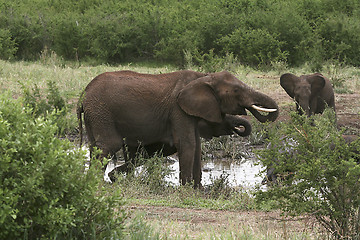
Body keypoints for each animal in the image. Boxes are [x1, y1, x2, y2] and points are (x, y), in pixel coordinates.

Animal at [76, 69, 278, 186]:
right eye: (236, 91)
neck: (204, 77)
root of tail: (83, 93)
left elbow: (196, 145)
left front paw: (197, 188)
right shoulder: (178, 109)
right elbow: (188, 144)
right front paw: (187, 188)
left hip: (95, 115)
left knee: (96, 146)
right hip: (101, 111)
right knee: (110, 145)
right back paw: (97, 183)